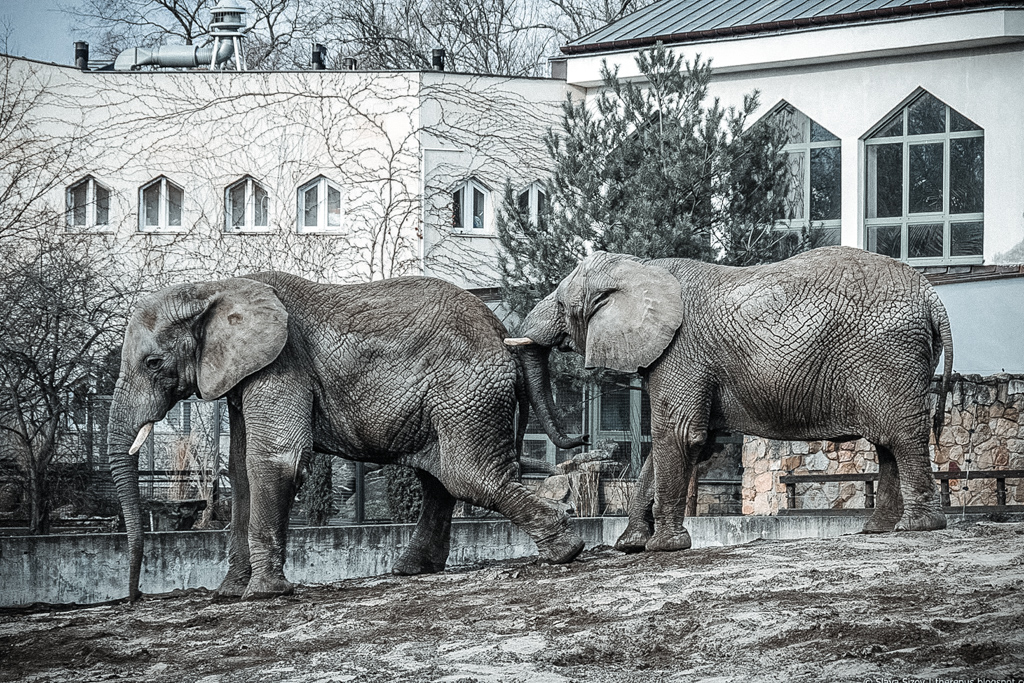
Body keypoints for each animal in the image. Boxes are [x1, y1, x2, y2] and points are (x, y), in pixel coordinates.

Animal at [105, 270, 585, 602]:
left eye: (152, 363)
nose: (133, 598)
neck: (214, 287)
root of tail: (503, 334)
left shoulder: (282, 365)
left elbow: (274, 461)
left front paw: (262, 595)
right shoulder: (244, 379)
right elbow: (241, 472)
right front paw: (228, 596)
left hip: (466, 391)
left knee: (468, 476)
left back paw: (566, 550)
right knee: (442, 478)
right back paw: (411, 570)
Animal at [516, 246, 954, 557]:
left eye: (561, 304)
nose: (587, 443)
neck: (640, 266)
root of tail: (934, 298)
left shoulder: (681, 351)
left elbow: (678, 435)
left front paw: (663, 548)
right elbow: (666, 444)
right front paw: (631, 546)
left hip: (887, 356)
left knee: (901, 436)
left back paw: (916, 527)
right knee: (887, 442)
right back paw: (878, 529)